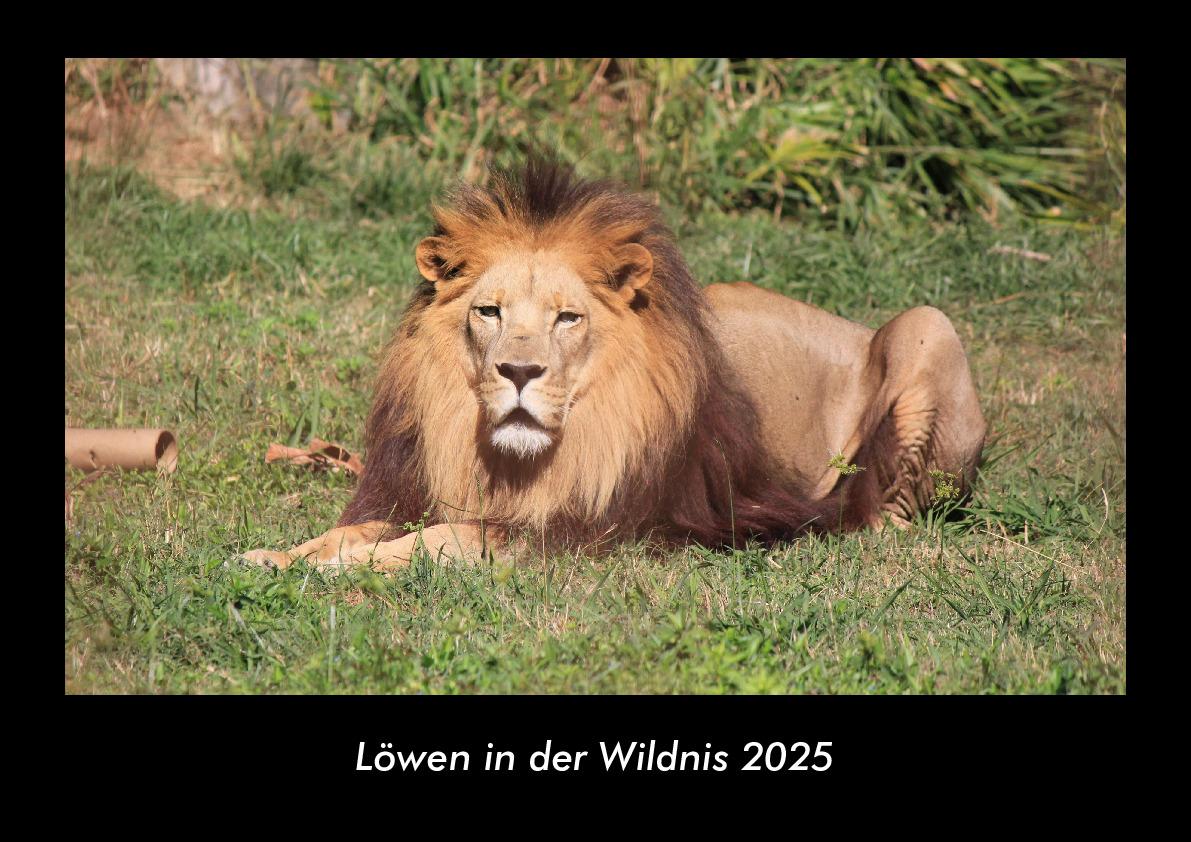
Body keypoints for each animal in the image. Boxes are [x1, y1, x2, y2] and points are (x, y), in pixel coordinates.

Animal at [243, 158, 986, 571]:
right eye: (489, 312)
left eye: (567, 318)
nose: (518, 373)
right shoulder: (415, 491)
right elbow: (352, 529)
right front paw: (277, 556)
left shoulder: (599, 530)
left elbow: (448, 539)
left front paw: (347, 569)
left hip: (929, 327)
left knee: (893, 510)